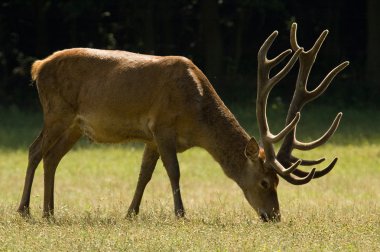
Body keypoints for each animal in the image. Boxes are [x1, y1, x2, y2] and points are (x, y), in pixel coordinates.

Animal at [19, 23, 348, 220]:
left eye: (279, 181)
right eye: (265, 181)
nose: (274, 216)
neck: (197, 121)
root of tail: (37, 67)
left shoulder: (151, 137)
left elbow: (144, 175)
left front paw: (131, 213)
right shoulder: (162, 126)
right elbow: (173, 172)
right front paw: (181, 213)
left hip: (75, 125)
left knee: (52, 157)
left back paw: (49, 211)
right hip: (56, 111)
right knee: (35, 150)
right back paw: (25, 210)